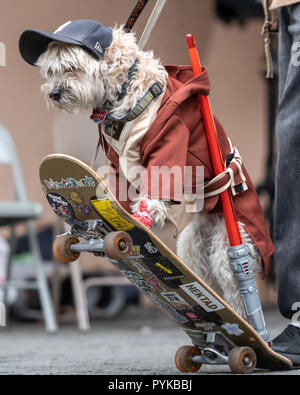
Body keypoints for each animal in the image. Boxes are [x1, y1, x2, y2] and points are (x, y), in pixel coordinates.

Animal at [19, 20, 268, 318]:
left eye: (70, 67)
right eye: (50, 71)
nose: (54, 93)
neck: (125, 90)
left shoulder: (169, 139)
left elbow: (158, 183)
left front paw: (139, 221)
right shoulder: (117, 165)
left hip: (228, 244)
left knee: (236, 289)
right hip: (192, 244)